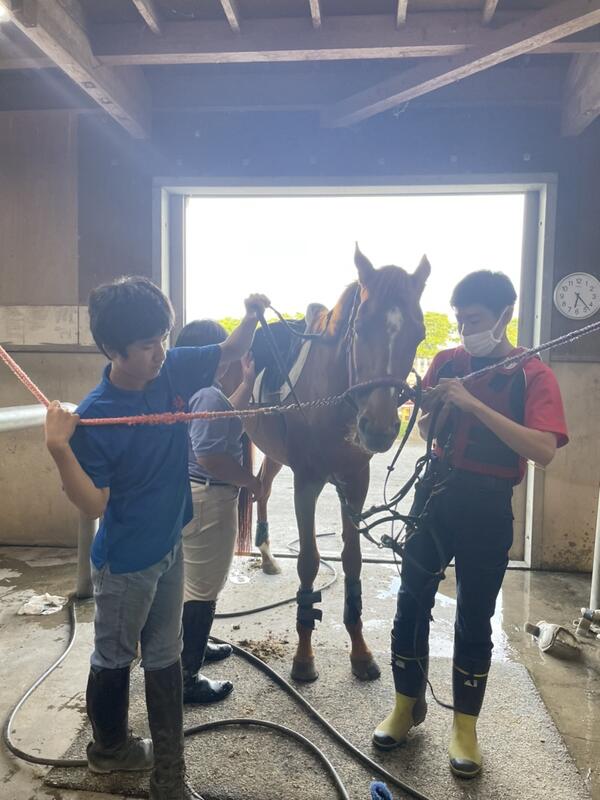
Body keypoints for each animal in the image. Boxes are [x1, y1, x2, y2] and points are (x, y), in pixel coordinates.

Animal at [242, 245, 430, 682]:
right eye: (359, 328)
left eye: (419, 335)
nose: (378, 427)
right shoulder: (307, 482)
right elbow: (310, 562)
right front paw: (303, 657)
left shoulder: (354, 481)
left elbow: (352, 560)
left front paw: (360, 652)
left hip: (275, 455)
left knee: (262, 488)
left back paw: (268, 556)